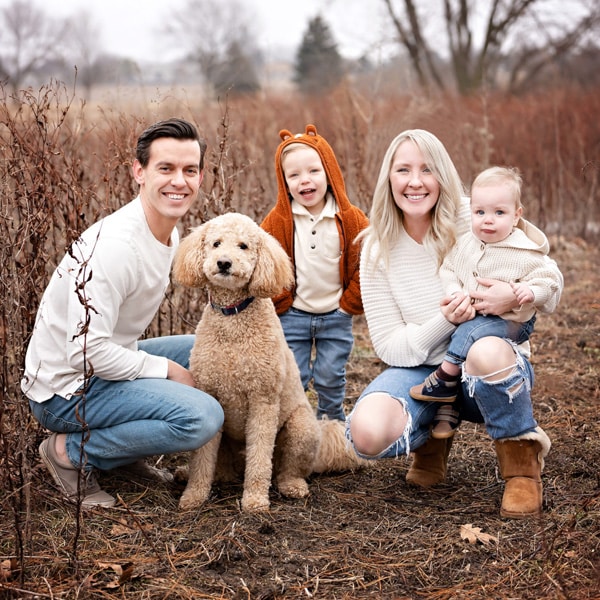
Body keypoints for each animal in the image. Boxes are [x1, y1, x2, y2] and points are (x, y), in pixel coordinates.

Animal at [170, 211, 366, 510]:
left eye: (243, 246)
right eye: (216, 243)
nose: (224, 262)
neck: (233, 318)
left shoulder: (263, 400)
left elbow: (260, 457)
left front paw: (254, 500)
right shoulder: (211, 392)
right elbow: (202, 458)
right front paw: (194, 495)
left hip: (300, 428)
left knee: (288, 469)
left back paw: (292, 486)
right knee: (226, 470)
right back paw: (193, 474)